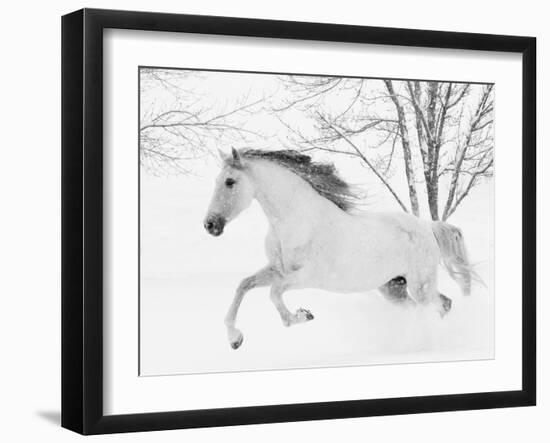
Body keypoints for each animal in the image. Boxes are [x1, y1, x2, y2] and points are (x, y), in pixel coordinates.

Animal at [205, 149, 476, 350]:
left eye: (230, 182)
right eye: (216, 181)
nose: (210, 225)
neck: (296, 221)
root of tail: (427, 227)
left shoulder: (306, 276)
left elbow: (274, 293)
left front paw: (302, 315)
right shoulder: (277, 270)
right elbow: (244, 285)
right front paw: (235, 339)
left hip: (420, 286)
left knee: (441, 305)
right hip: (393, 288)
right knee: (431, 306)